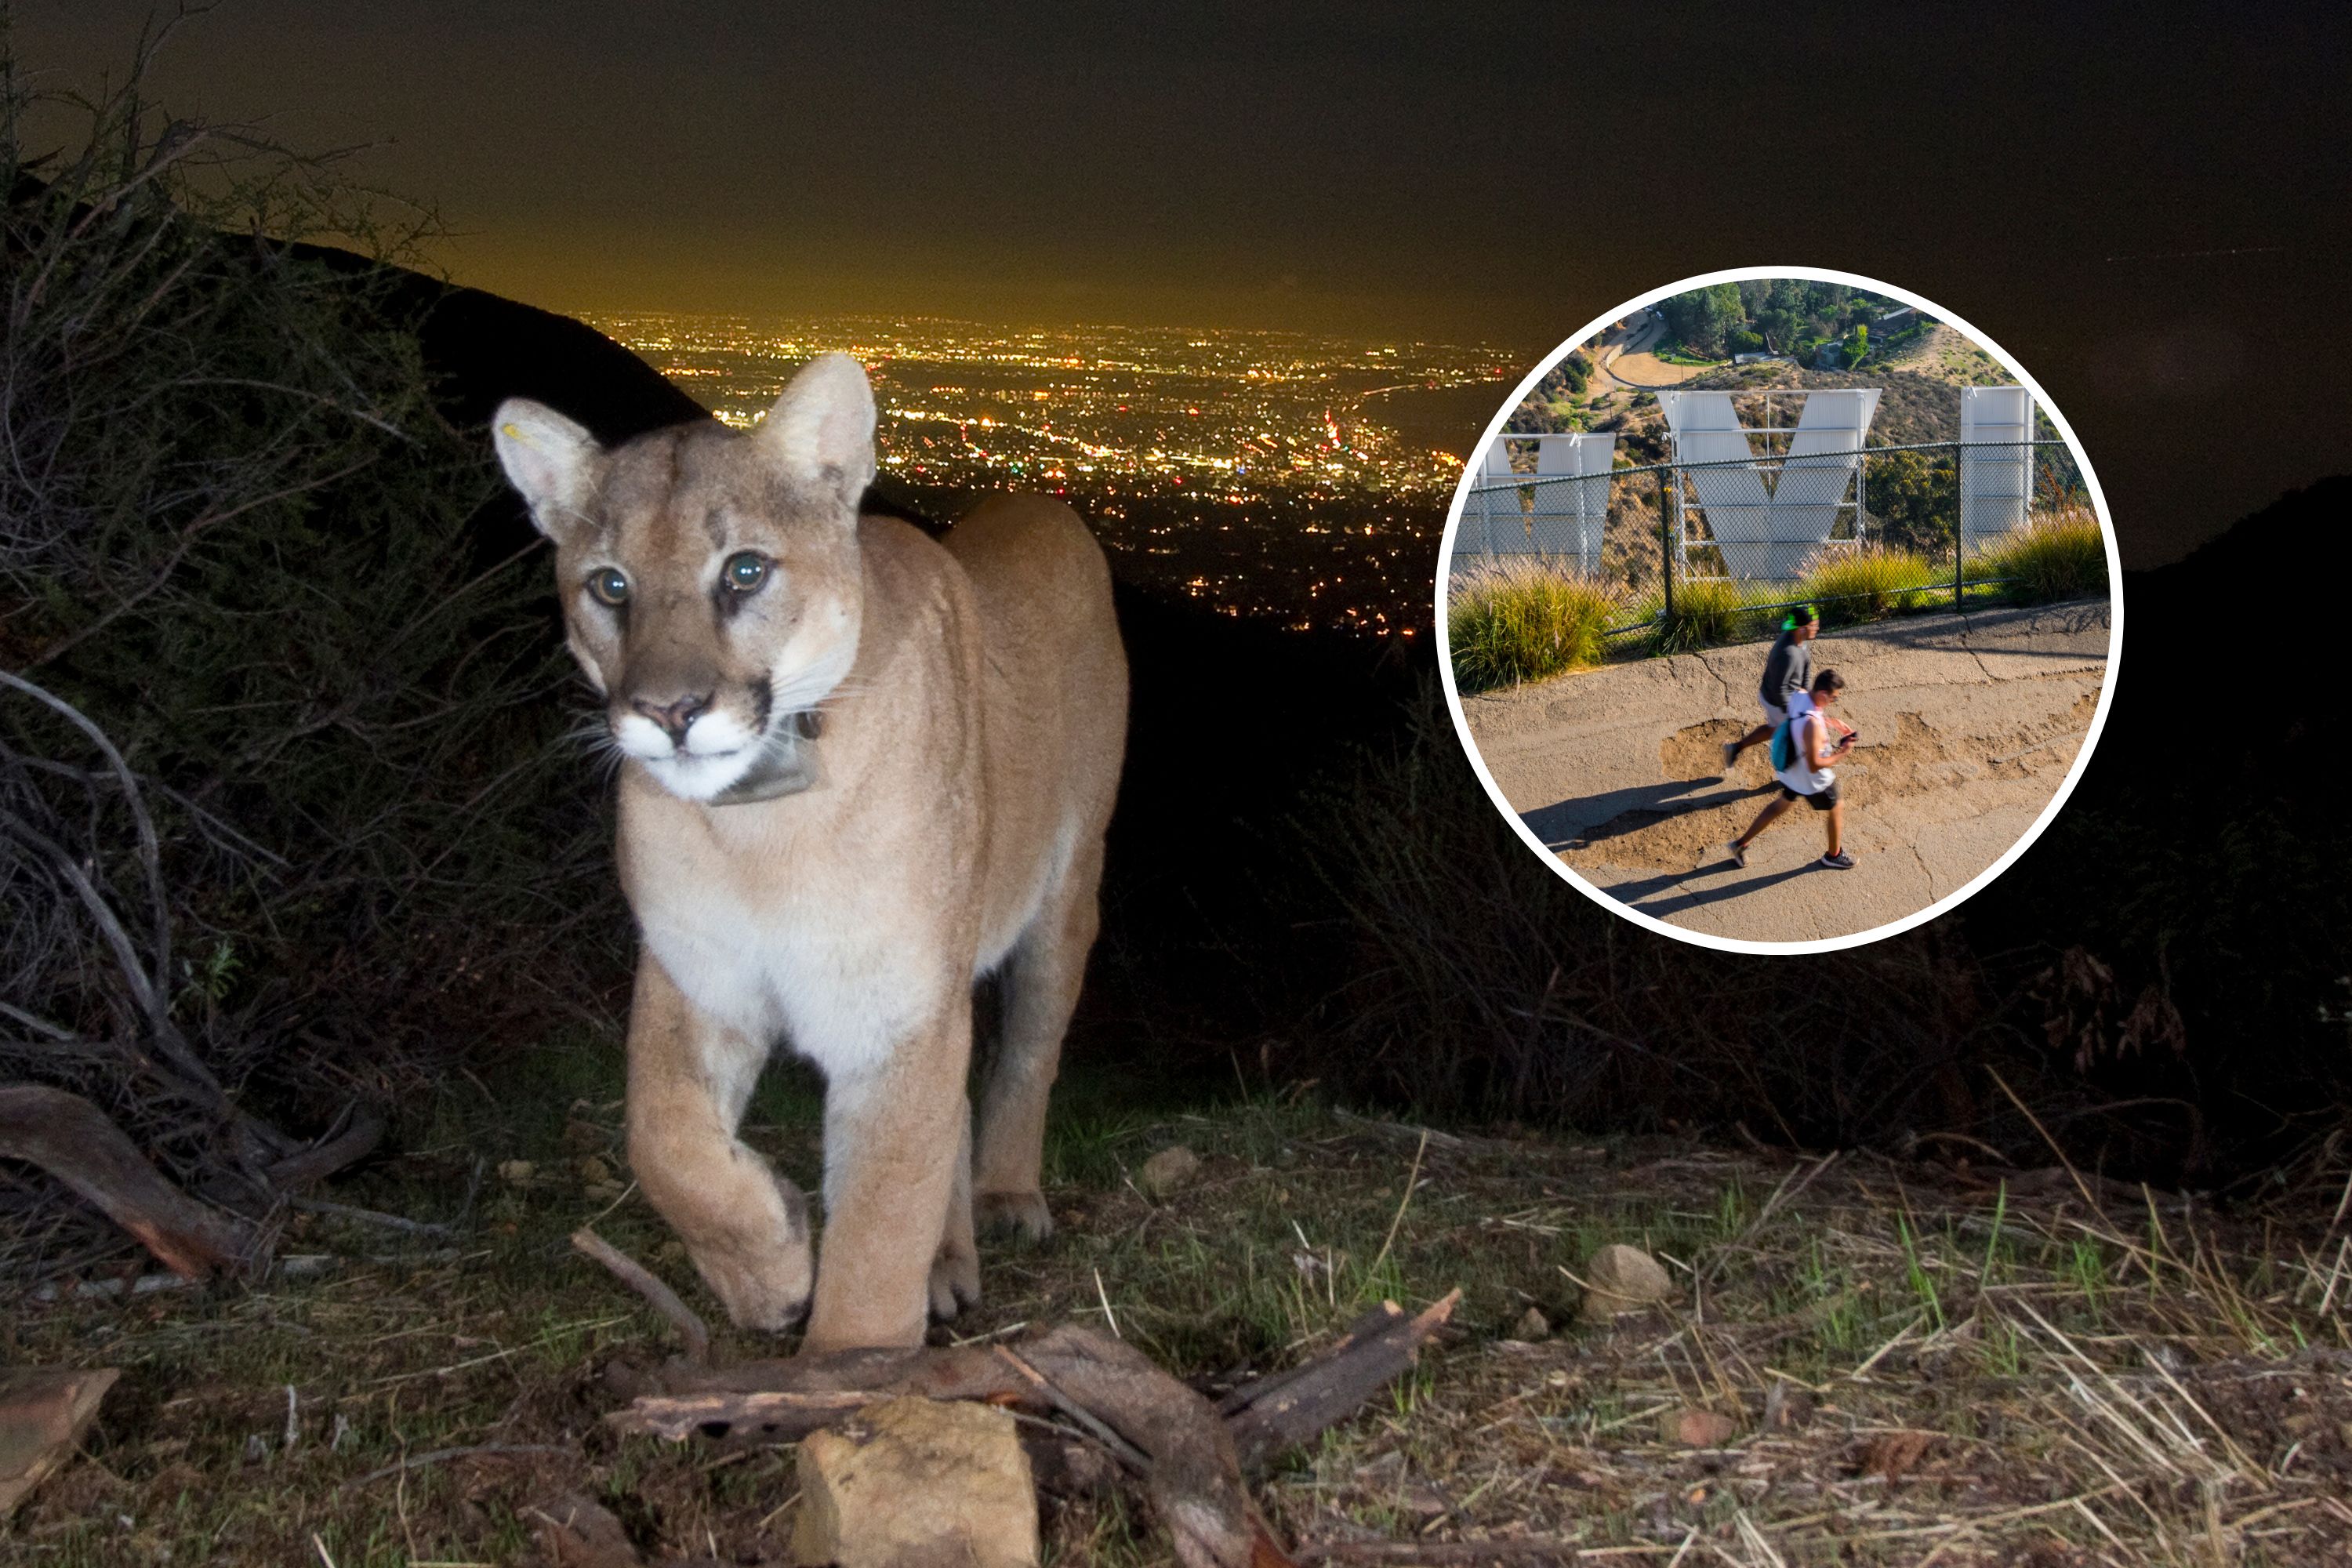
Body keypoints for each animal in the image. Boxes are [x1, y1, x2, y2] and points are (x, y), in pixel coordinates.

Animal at [492, 352, 1124, 1354]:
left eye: (745, 571)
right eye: (611, 586)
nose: (669, 711)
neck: (761, 827)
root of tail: (1040, 502)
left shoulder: (896, 1009)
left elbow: (878, 1224)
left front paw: (848, 1361)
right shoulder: (696, 972)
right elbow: (660, 1135)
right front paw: (770, 1264)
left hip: (1067, 893)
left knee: (1028, 1050)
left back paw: (1004, 1196)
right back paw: (945, 1259)